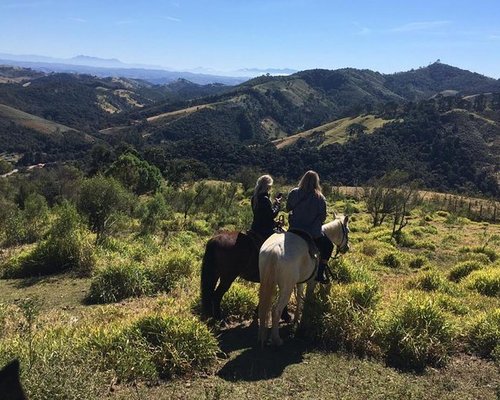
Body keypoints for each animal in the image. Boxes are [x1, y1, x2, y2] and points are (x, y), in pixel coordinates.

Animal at [256, 216, 350, 346]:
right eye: (348, 231)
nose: (346, 248)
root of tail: (274, 249)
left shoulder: (300, 282)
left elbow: (299, 297)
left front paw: (296, 319)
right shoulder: (312, 282)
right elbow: (307, 299)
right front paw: (304, 323)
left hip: (268, 282)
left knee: (265, 307)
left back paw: (262, 335)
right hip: (287, 288)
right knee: (276, 310)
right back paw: (277, 339)